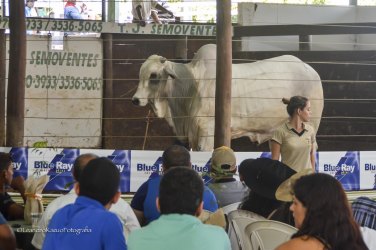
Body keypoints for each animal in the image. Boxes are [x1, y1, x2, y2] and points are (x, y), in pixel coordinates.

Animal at [132, 43, 324, 150]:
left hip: (312, 126)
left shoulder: (207, 133)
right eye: (140, 74)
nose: (135, 99)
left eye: (154, 75)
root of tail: (311, 69)